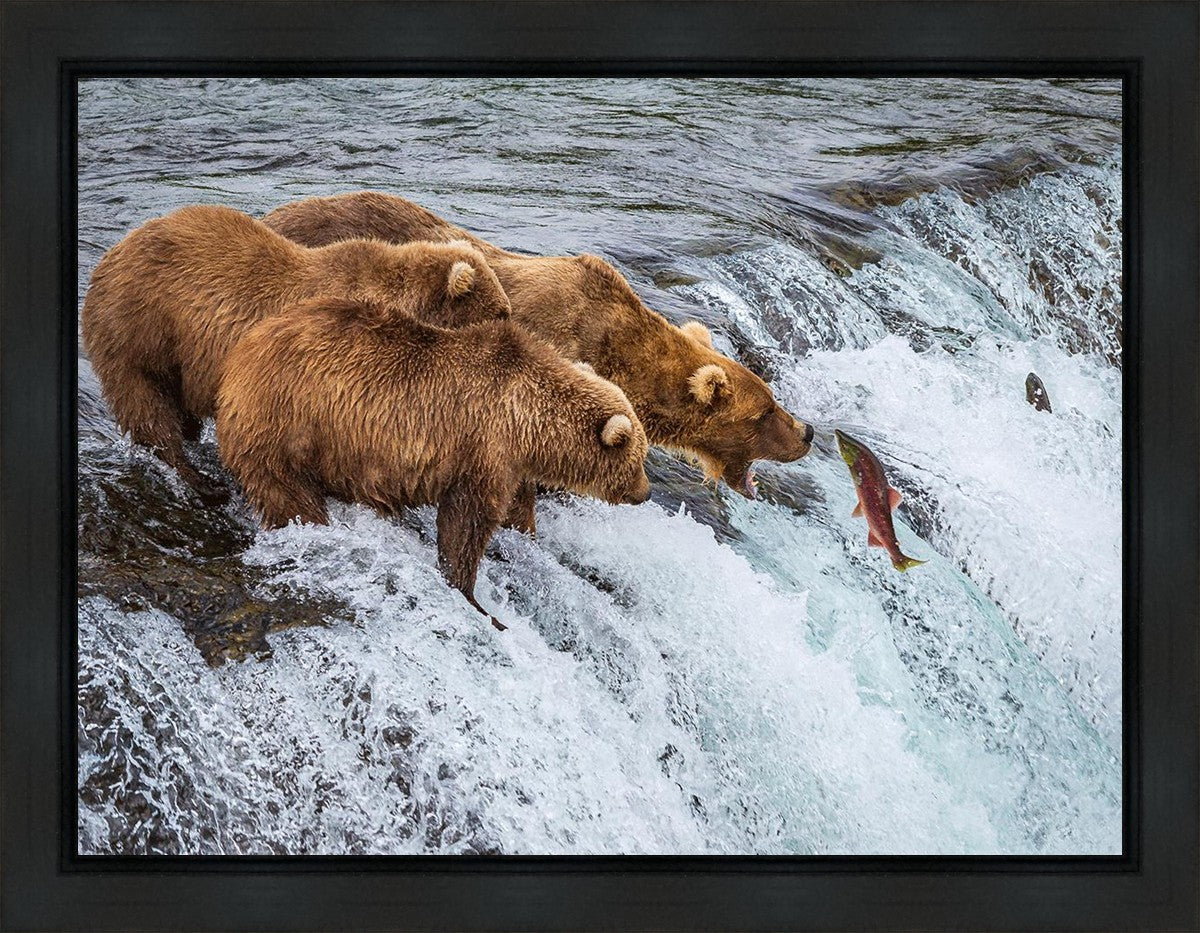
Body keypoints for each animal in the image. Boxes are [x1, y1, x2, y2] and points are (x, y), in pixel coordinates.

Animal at [81, 204, 511, 502]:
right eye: (501, 312)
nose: (513, 330)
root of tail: (110, 255)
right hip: (140, 329)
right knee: (147, 406)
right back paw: (200, 480)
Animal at [215, 296, 651, 629]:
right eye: (638, 459)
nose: (645, 493)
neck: (527, 420)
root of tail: (239, 356)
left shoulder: (510, 463)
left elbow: (515, 510)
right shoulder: (482, 447)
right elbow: (467, 523)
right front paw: (475, 598)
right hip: (287, 424)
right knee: (289, 494)